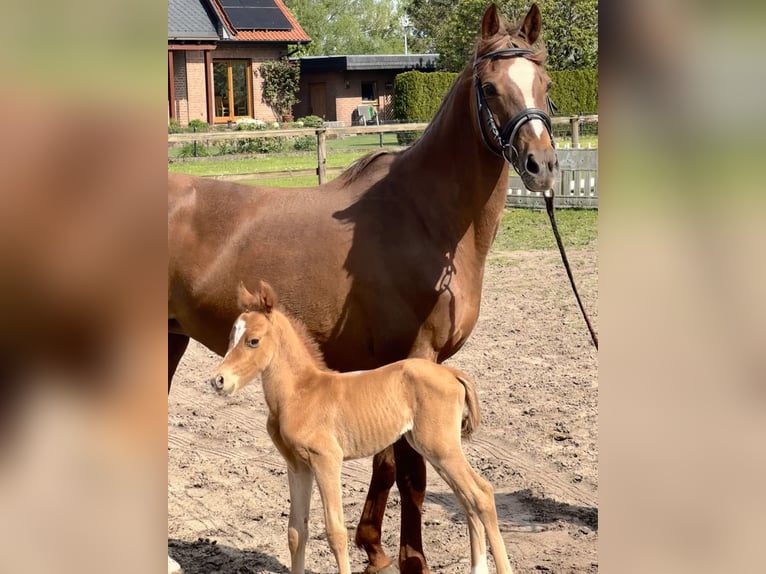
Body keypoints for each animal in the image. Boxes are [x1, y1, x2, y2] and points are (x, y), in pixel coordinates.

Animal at [208, 282, 516, 572]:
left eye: (253, 341)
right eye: (230, 338)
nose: (218, 380)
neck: (300, 393)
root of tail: (451, 372)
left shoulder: (327, 460)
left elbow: (336, 532)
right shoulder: (297, 465)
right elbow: (296, 532)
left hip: (441, 447)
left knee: (482, 495)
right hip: (432, 448)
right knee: (467, 499)